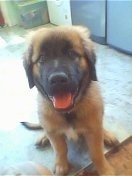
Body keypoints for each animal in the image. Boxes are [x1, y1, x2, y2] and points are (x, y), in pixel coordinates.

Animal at [23, 25, 118, 175]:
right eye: (42, 58)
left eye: (72, 54)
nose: (57, 79)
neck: (69, 112)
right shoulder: (55, 134)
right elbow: (60, 149)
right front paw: (61, 166)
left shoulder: (93, 130)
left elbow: (96, 153)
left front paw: (104, 169)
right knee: (46, 128)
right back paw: (43, 137)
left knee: (101, 126)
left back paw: (107, 135)